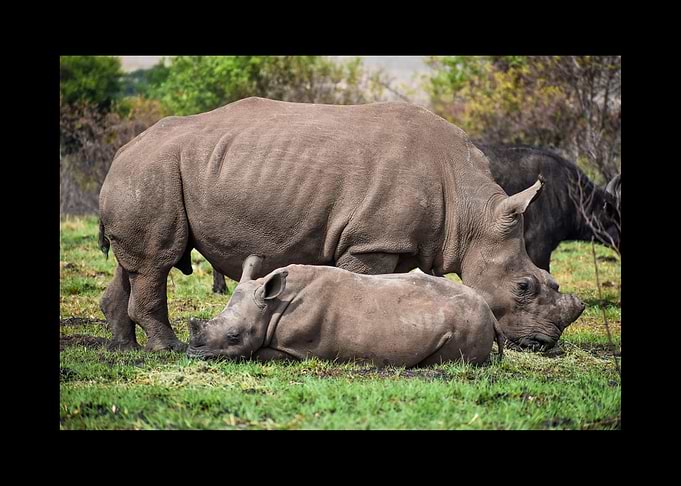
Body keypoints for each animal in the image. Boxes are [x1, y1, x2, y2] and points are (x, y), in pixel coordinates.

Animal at [98, 97, 585, 352]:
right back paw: (168, 349)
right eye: (523, 287)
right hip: (153, 169)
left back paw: (124, 348)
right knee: (156, 262)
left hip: (146, 171)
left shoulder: (400, 241)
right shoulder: (372, 241)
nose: (545, 342)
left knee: (133, 265)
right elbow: (363, 284)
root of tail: (121, 150)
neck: (471, 214)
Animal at [188, 255, 505, 366]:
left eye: (234, 336)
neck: (273, 306)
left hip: (469, 322)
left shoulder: (297, 349)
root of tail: (491, 314)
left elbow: (257, 353)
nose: (192, 354)